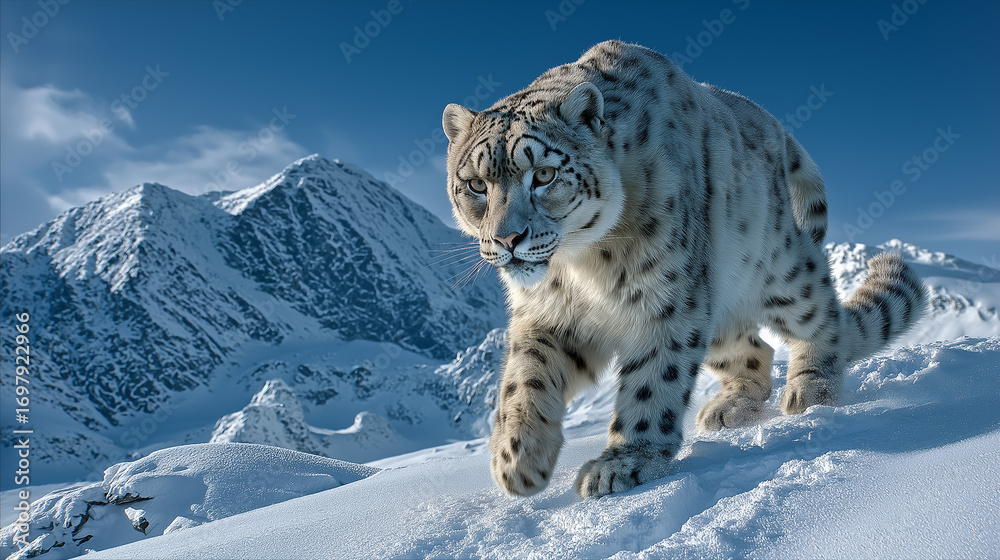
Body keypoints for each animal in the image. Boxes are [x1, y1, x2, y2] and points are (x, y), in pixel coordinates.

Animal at [442, 40, 927, 498]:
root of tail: (767, 120)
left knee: (821, 314)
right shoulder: (545, 313)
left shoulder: (665, 298)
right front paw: (517, 458)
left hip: (776, 269)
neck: (580, 267)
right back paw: (730, 408)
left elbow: (653, 379)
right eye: (476, 185)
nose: (507, 239)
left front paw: (626, 461)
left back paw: (813, 389)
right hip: (713, 309)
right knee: (755, 350)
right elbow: (524, 376)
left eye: (543, 175)